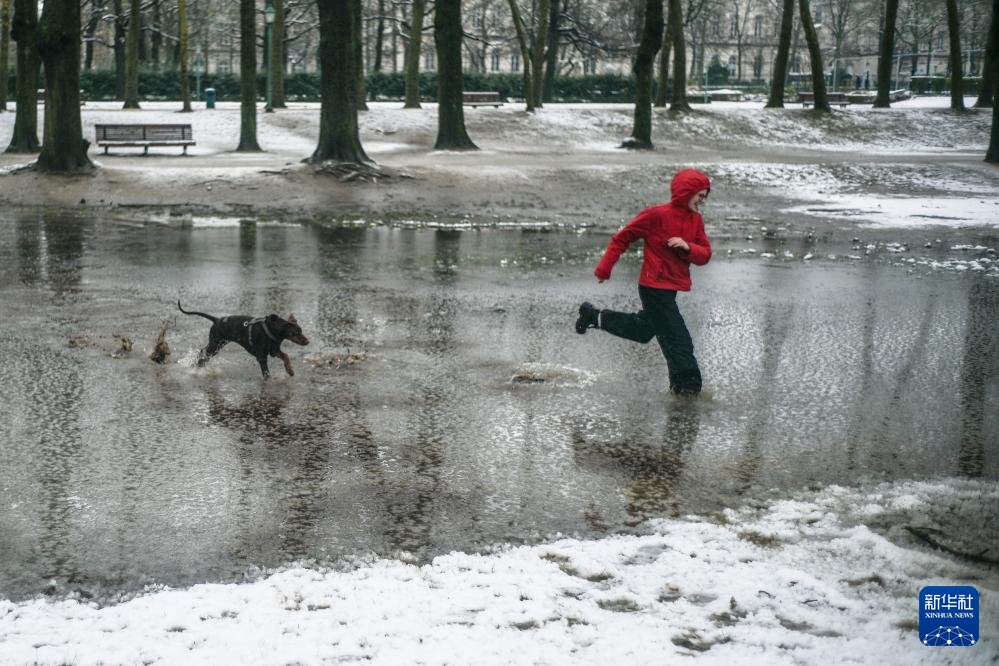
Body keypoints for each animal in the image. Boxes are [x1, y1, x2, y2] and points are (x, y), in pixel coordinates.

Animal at [177, 300, 308, 376]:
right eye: (296, 332)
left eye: (301, 331)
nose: (307, 341)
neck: (272, 330)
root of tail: (216, 320)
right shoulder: (262, 357)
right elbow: (266, 374)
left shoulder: (274, 350)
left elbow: (286, 356)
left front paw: (290, 370)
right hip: (215, 344)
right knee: (203, 353)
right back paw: (198, 367)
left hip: (218, 343)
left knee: (203, 353)